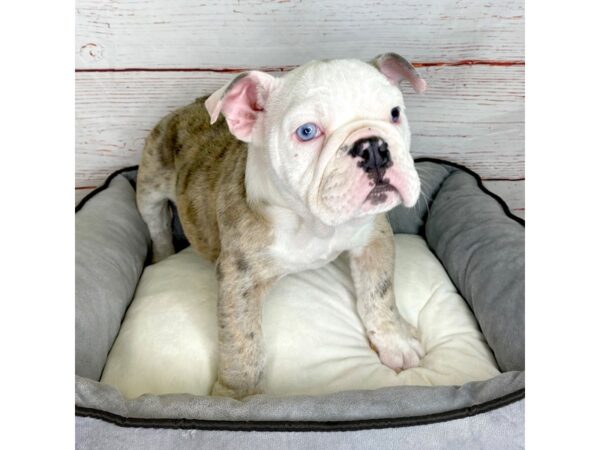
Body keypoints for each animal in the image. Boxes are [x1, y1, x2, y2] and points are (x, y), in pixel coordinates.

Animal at [136, 52, 426, 398]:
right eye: (307, 131)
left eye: (395, 113)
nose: (373, 148)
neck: (312, 222)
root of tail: (186, 107)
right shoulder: (239, 278)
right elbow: (241, 339)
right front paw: (237, 395)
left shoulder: (373, 239)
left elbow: (379, 294)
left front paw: (395, 340)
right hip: (149, 186)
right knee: (158, 226)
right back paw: (162, 255)